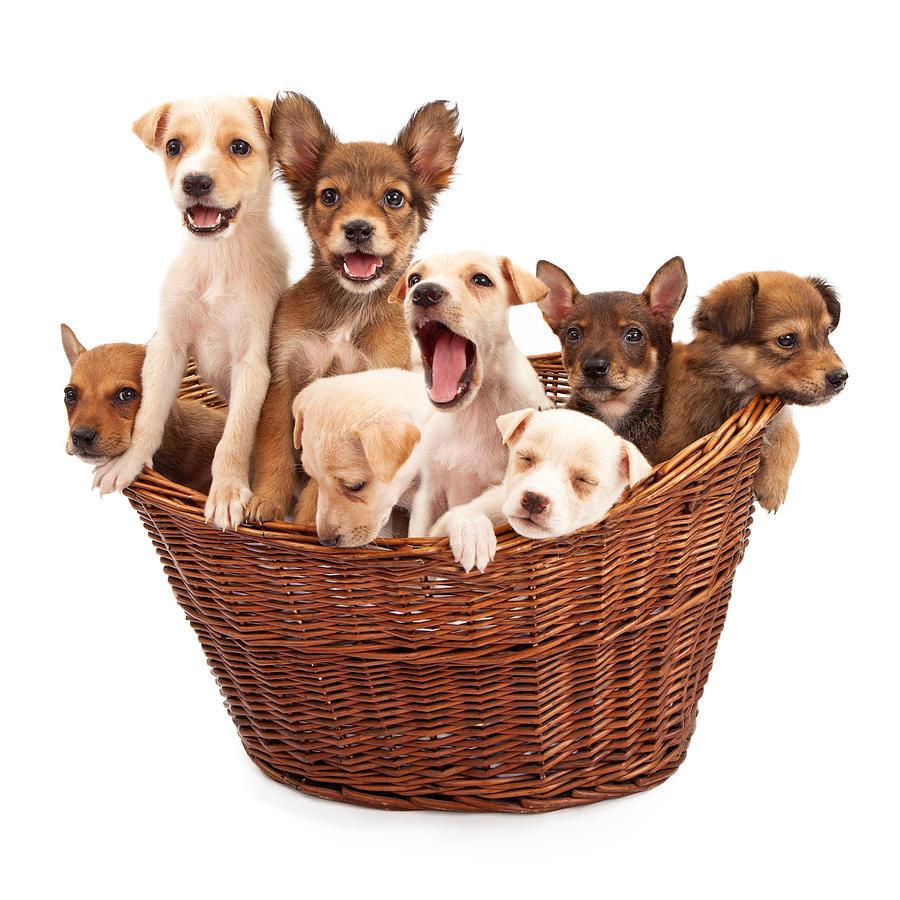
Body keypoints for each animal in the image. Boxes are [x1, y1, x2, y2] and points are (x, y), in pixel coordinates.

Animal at [92, 96, 289, 530]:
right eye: (173, 147)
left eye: (239, 147)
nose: (195, 182)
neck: (218, 257)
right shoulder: (167, 347)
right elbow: (149, 417)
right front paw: (128, 464)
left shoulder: (251, 363)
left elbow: (234, 436)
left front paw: (228, 492)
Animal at [247, 94, 462, 523]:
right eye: (330, 196)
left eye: (393, 198)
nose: (358, 228)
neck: (349, 307)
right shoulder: (283, 380)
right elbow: (274, 449)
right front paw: (267, 501)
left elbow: (321, 483)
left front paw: (302, 522)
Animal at [392, 251, 552, 536]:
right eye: (414, 279)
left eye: (481, 280)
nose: (424, 293)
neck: (474, 408)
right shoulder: (428, 494)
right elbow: (420, 534)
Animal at [431, 407, 652, 572]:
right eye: (525, 458)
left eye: (584, 480)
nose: (534, 500)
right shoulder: (441, 526)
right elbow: (463, 513)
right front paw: (473, 534)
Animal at [656, 271, 848, 510]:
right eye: (786, 339)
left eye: (827, 332)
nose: (841, 377)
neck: (738, 389)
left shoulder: (779, 417)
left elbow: (791, 439)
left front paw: (772, 487)